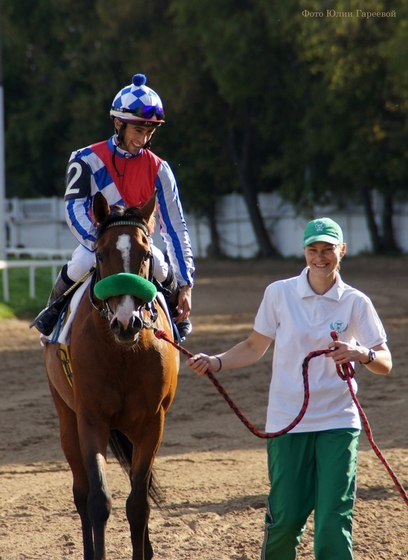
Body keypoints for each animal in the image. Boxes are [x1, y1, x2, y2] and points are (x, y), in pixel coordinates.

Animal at [43, 192, 179, 560]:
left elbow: (138, 502)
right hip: (66, 417)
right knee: (80, 493)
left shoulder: (152, 422)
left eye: (146, 255)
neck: (122, 355)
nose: (126, 322)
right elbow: (98, 501)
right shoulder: (91, 418)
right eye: (102, 254)